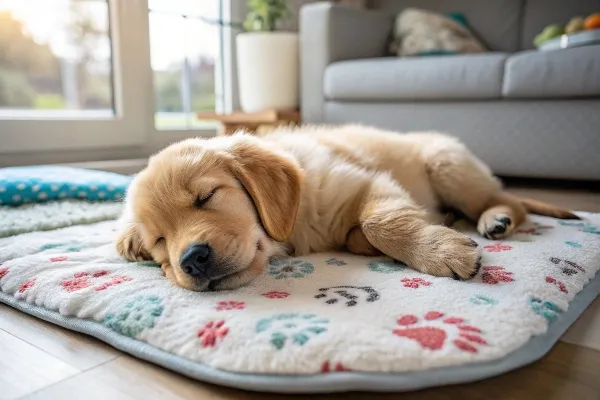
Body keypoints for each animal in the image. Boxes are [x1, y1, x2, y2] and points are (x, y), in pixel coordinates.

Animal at [115, 125, 580, 290]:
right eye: (160, 240)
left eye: (206, 197)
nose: (191, 259)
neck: (298, 225)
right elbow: (364, 232)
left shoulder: (367, 181)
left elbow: (378, 221)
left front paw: (441, 252)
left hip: (448, 163)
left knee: (508, 199)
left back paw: (495, 218)